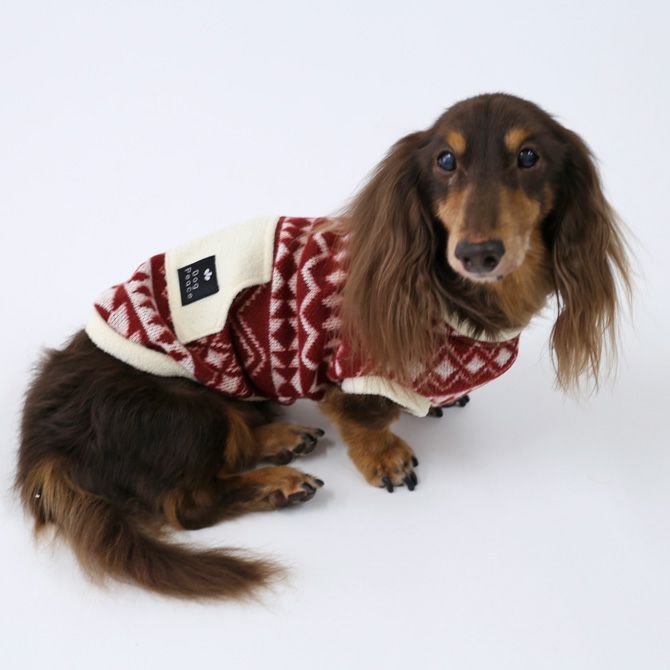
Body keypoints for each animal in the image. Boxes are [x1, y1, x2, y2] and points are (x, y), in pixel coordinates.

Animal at [16, 93, 631, 599]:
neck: (459, 297)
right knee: (192, 502)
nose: (478, 253)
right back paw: (277, 485)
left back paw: (284, 438)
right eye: (445, 161)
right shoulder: (350, 368)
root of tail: (41, 440)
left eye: (529, 156)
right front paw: (385, 457)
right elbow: (363, 418)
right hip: (180, 410)